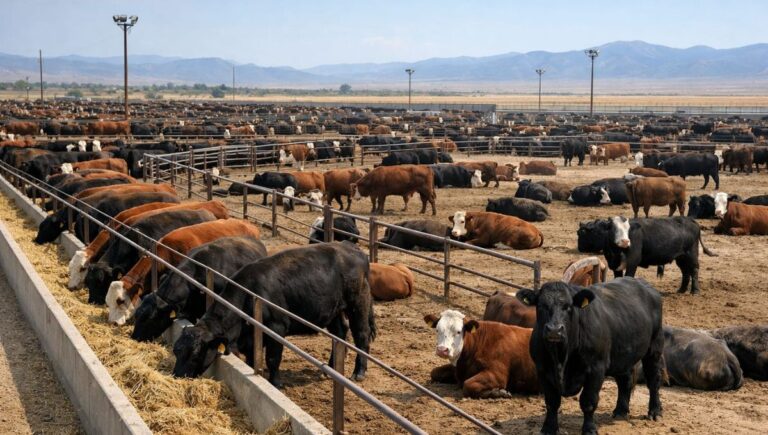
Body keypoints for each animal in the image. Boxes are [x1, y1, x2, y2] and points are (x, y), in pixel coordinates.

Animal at [172, 242, 375, 387]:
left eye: (195, 355)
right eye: (176, 351)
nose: (177, 376)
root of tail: (352, 248)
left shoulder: (277, 329)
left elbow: (272, 358)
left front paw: (276, 383)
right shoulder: (252, 338)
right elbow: (253, 359)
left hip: (358, 302)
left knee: (361, 334)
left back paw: (359, 372)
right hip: (333, 310)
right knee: (340, 333)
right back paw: (331, 368)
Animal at [515, 277, 664, 435]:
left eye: (568, 306)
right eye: (541, 305)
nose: (554, 330)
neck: (562, 357)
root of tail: (642, 282)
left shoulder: (596, 369)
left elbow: (588, 401)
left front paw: (589, 429)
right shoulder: (542, 370)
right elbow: (551, 402)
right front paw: (548, 428)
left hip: (654, 348)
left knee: (653, 380)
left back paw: (655, 411)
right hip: (623, 355)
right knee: (625, 380)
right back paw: (620, 411)